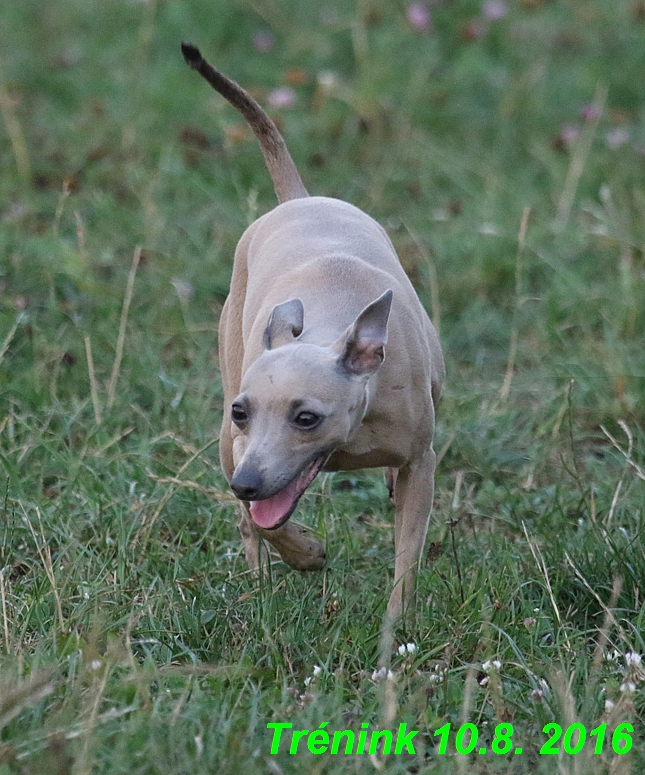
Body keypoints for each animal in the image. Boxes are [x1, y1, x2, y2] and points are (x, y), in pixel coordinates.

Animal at [181, 44, 442, 624]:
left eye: (306, 418)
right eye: (243, 411)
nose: (246, 483)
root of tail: (297, 199)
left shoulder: (420, 461)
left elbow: (408, 555)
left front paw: (397, 625)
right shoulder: (238, 446)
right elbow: (264, 522)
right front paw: (306, 553)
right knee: (249, 529)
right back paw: (257, 588)